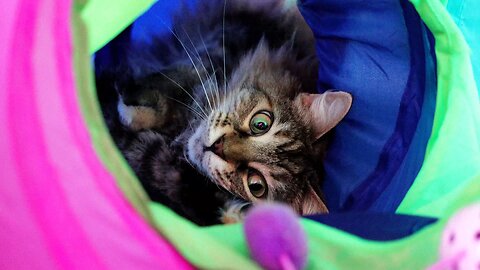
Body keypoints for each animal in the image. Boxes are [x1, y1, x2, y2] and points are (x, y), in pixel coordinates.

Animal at [94, 0, 352, 225]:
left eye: (256, 185)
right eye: (261, 123)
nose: (216, 146)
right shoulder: (214, 49)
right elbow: (171, 82)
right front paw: (132, 109)